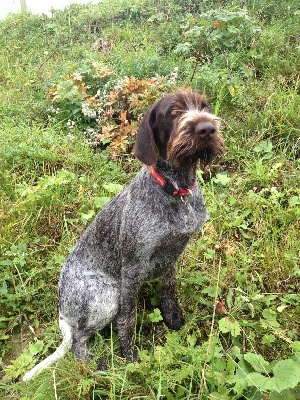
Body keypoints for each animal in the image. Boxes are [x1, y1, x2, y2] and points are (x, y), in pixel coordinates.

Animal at [23, 90, 224, 382]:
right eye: (173, 112)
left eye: (205, 107)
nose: (207, 128)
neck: (176, 190)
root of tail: (61, 310)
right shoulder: (132, 269)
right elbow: (127, 319)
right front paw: (130, 356)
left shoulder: (173, 253)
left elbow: (169, 286)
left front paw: (171, 314)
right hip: (108, 295)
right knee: (78, 341)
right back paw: (98, 365)